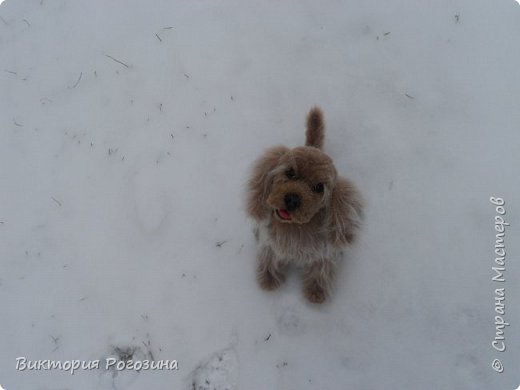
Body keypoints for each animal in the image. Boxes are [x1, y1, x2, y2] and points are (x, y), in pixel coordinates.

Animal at [247, 107, 362, 304]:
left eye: (319, 187)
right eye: (290, 172)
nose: (292, 199)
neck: (294, 227)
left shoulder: (324, 254)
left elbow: (321, 271)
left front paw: (316, 291)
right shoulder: (270, 245)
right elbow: (269, 260)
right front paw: (269, 279)